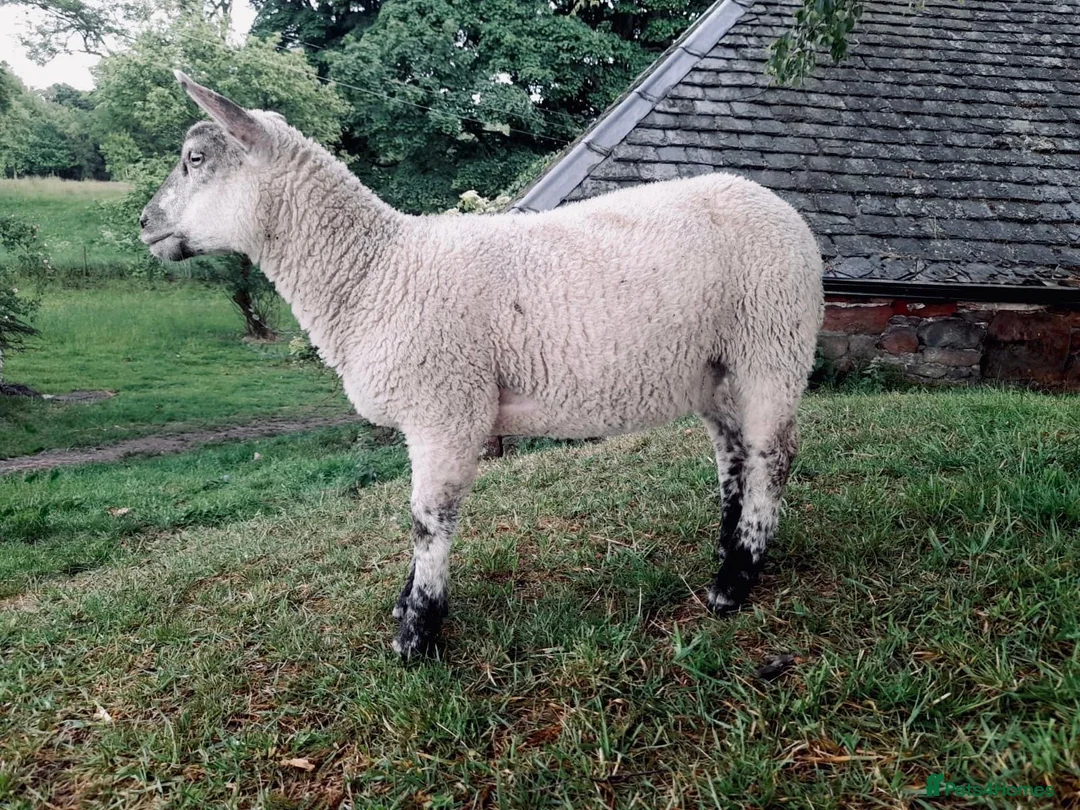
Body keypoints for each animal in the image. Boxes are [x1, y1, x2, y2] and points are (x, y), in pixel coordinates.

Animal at [140, 72, 824, 660]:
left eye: (195, 159)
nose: (143, 223)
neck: (374, 271)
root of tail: (778, 206)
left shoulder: (446, 408)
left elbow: (427, 521)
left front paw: (417, 633)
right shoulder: (431, 415)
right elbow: (420, 519)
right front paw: (407, 606)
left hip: (774, 339)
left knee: (772, 454)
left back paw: (736, 581)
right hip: (715, 367)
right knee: (733, 456)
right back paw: (725, 549)